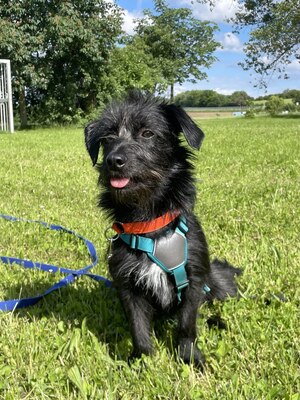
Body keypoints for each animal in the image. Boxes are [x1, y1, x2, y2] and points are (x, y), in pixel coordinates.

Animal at [85, 91, 241, 368]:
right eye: (107, 139)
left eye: (147, 133)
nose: (114, 161)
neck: (150, 223)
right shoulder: (128, 285)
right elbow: (138, 327)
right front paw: (141, 360)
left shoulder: (194, 280)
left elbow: (187, 325)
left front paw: (189, 357)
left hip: (218, 283)